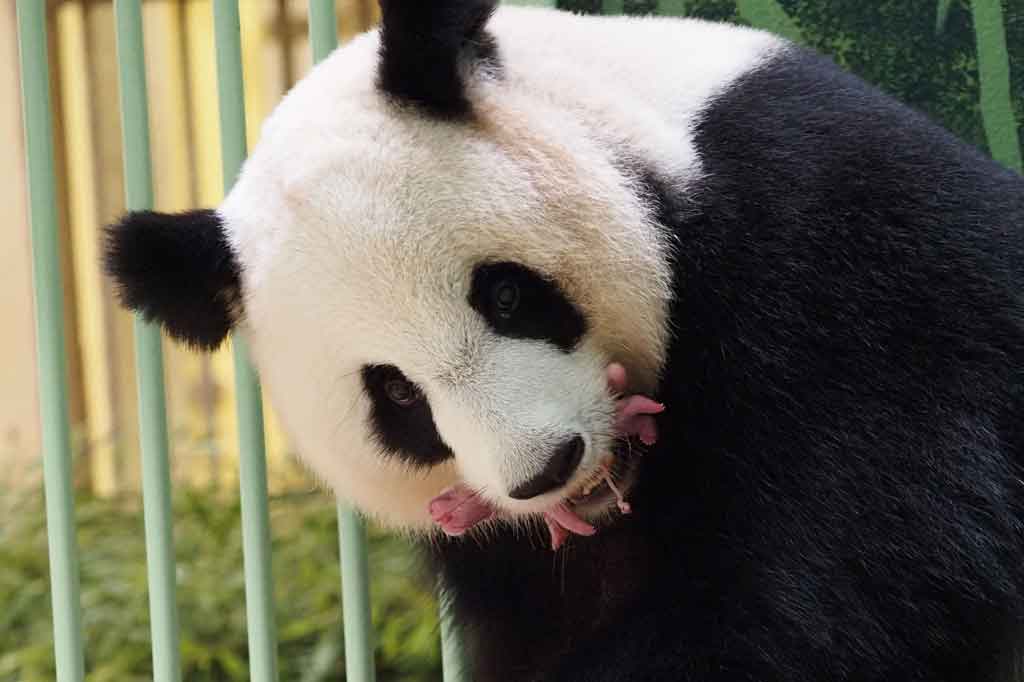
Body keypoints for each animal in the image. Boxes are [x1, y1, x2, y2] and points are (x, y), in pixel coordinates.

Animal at [104, 1, 1024, 680]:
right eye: (396, 394)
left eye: (507, 295)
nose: (547, 467)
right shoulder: (511, 563)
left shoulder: (844, 277)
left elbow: (827, 591)